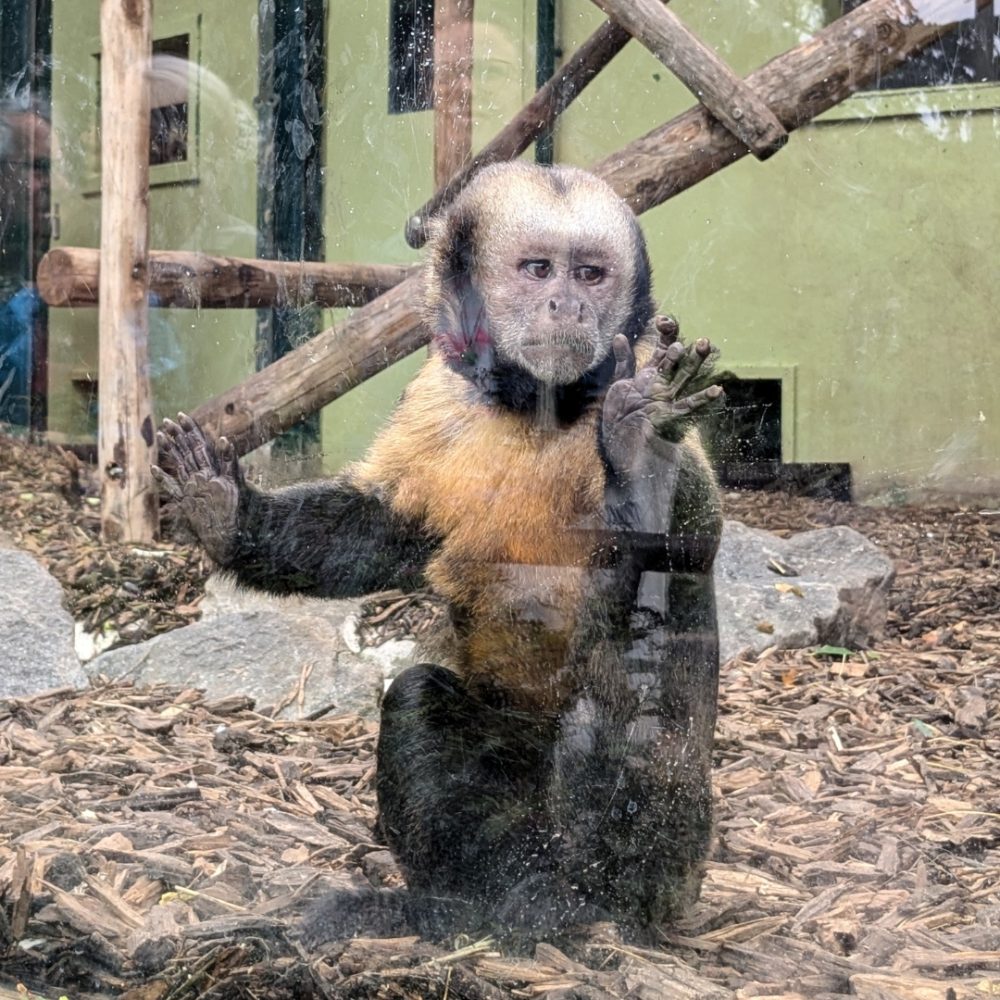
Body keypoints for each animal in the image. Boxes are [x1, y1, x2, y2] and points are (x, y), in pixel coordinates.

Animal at [154, 161, 724, 946]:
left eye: (591, 274)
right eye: (539, 270)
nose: (568, 305)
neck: (544, 405)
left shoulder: (667, 419)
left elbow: (665, 577)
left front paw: (634, 448)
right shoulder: (439, 392)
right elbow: (382, 533)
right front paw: (223, 511)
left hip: (675, 862)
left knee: (607, 705)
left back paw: (573, 906)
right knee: (420, 700)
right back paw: (462, 902)